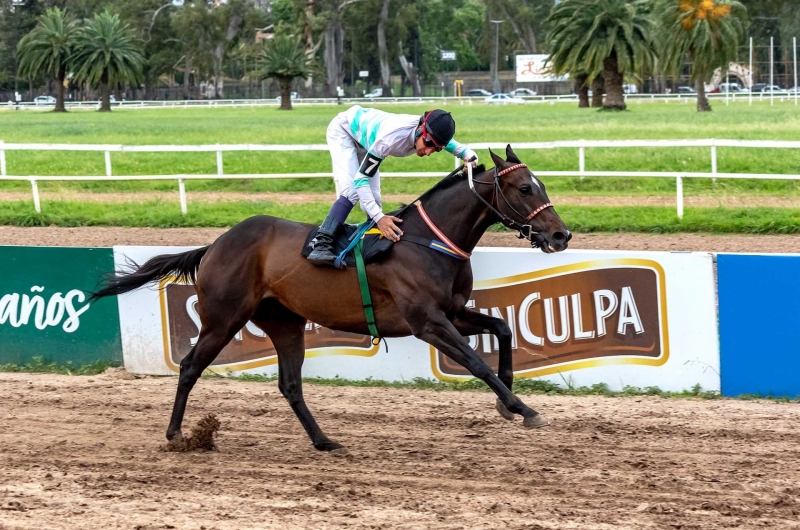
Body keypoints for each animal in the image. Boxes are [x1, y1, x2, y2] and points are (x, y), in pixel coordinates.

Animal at [92, 146, 568, 452]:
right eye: (525, 188)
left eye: (542, 184)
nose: (561, 235)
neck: (425, 241)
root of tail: (215, 245)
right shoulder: (428, 323)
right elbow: (474, 362)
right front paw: (522, 407)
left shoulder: (450, 311)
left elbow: (501, 328)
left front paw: (507, 400)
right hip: (223, 318)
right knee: (190, 366)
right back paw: (177, 436)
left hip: (284, 323)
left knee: (290, 383)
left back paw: (324, 441)